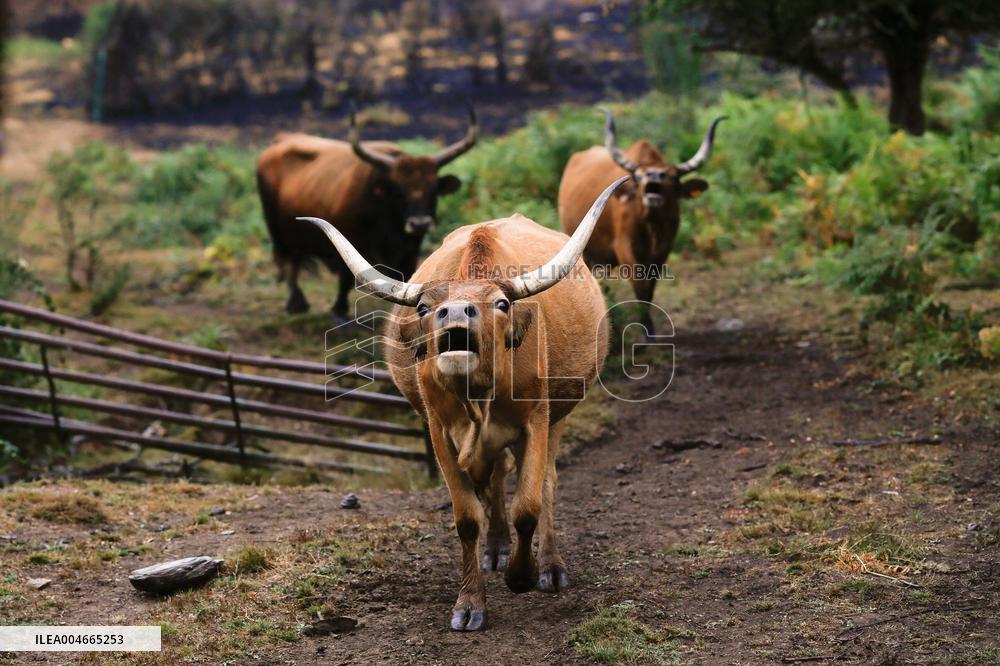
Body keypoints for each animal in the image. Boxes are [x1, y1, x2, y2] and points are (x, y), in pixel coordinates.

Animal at [256, 107, 477, 318]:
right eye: (398, 191)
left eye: (433, 190)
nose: (419, 223)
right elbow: (346, 277)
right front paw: (339, 309)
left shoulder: (410, 251)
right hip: (277, 230)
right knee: (287, 262)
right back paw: (297, 303)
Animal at [300, 175, 628, 631]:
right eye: (424, 307)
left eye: (502, 304)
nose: (455, 312)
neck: (478, 401)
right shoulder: (439, 430)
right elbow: (468, 516)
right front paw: (471, 602)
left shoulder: (536, 420)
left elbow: (528, 504)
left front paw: (523, 576)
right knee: (494, 480)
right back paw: (497, 549)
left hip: (559, 415)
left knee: (544, 483)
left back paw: (550, 567)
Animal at [558, 109, 725, 335]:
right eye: (638, 176)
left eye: (672, 177)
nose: (654, 175)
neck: (652, 228)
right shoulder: (625, 247)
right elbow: (640, 286)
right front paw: (646, 332)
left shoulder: (662, 251)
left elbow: (649, 289)